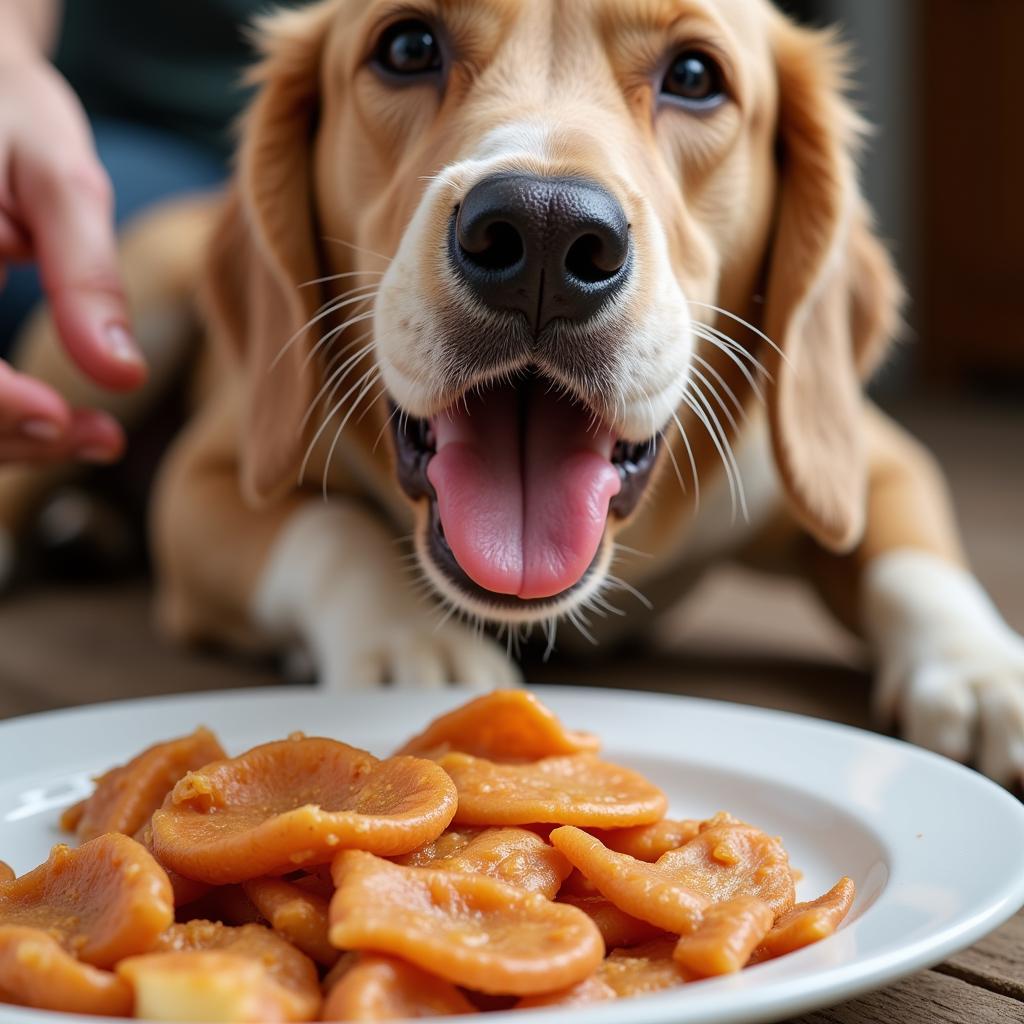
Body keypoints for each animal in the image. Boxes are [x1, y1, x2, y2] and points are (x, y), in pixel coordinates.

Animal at [0, 0, 1019, 786]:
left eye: (695, 75)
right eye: (408, 47)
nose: (543, 233)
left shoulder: (860, 458)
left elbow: (916, 562)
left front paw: (982, 673)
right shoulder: (205, 482)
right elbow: (329, 532)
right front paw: (412, 646)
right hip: (121, 323)